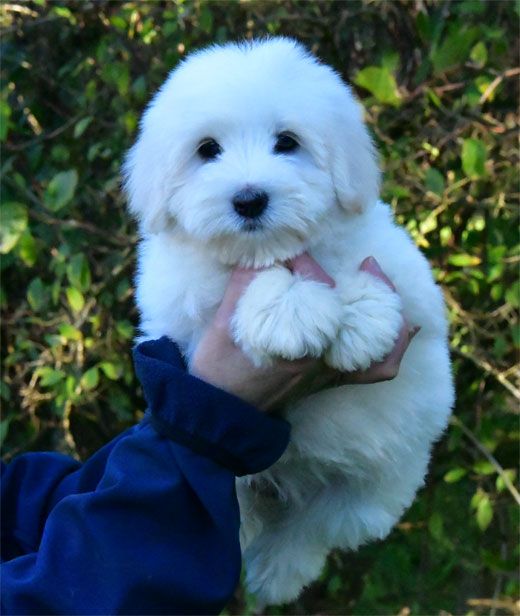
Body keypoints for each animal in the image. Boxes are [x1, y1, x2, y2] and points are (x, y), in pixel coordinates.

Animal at [124, 38, 452, 608]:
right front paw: (289, 310)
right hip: (250, 489)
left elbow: (374, 275)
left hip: (372, 486)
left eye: (287, 142)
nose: (249, 199)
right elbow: (238, 288)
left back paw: (277, 572)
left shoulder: (411, 281)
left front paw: (358, 319)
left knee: (312, 528)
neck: (269, 247)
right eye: (207, 150)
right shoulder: (181, 311)